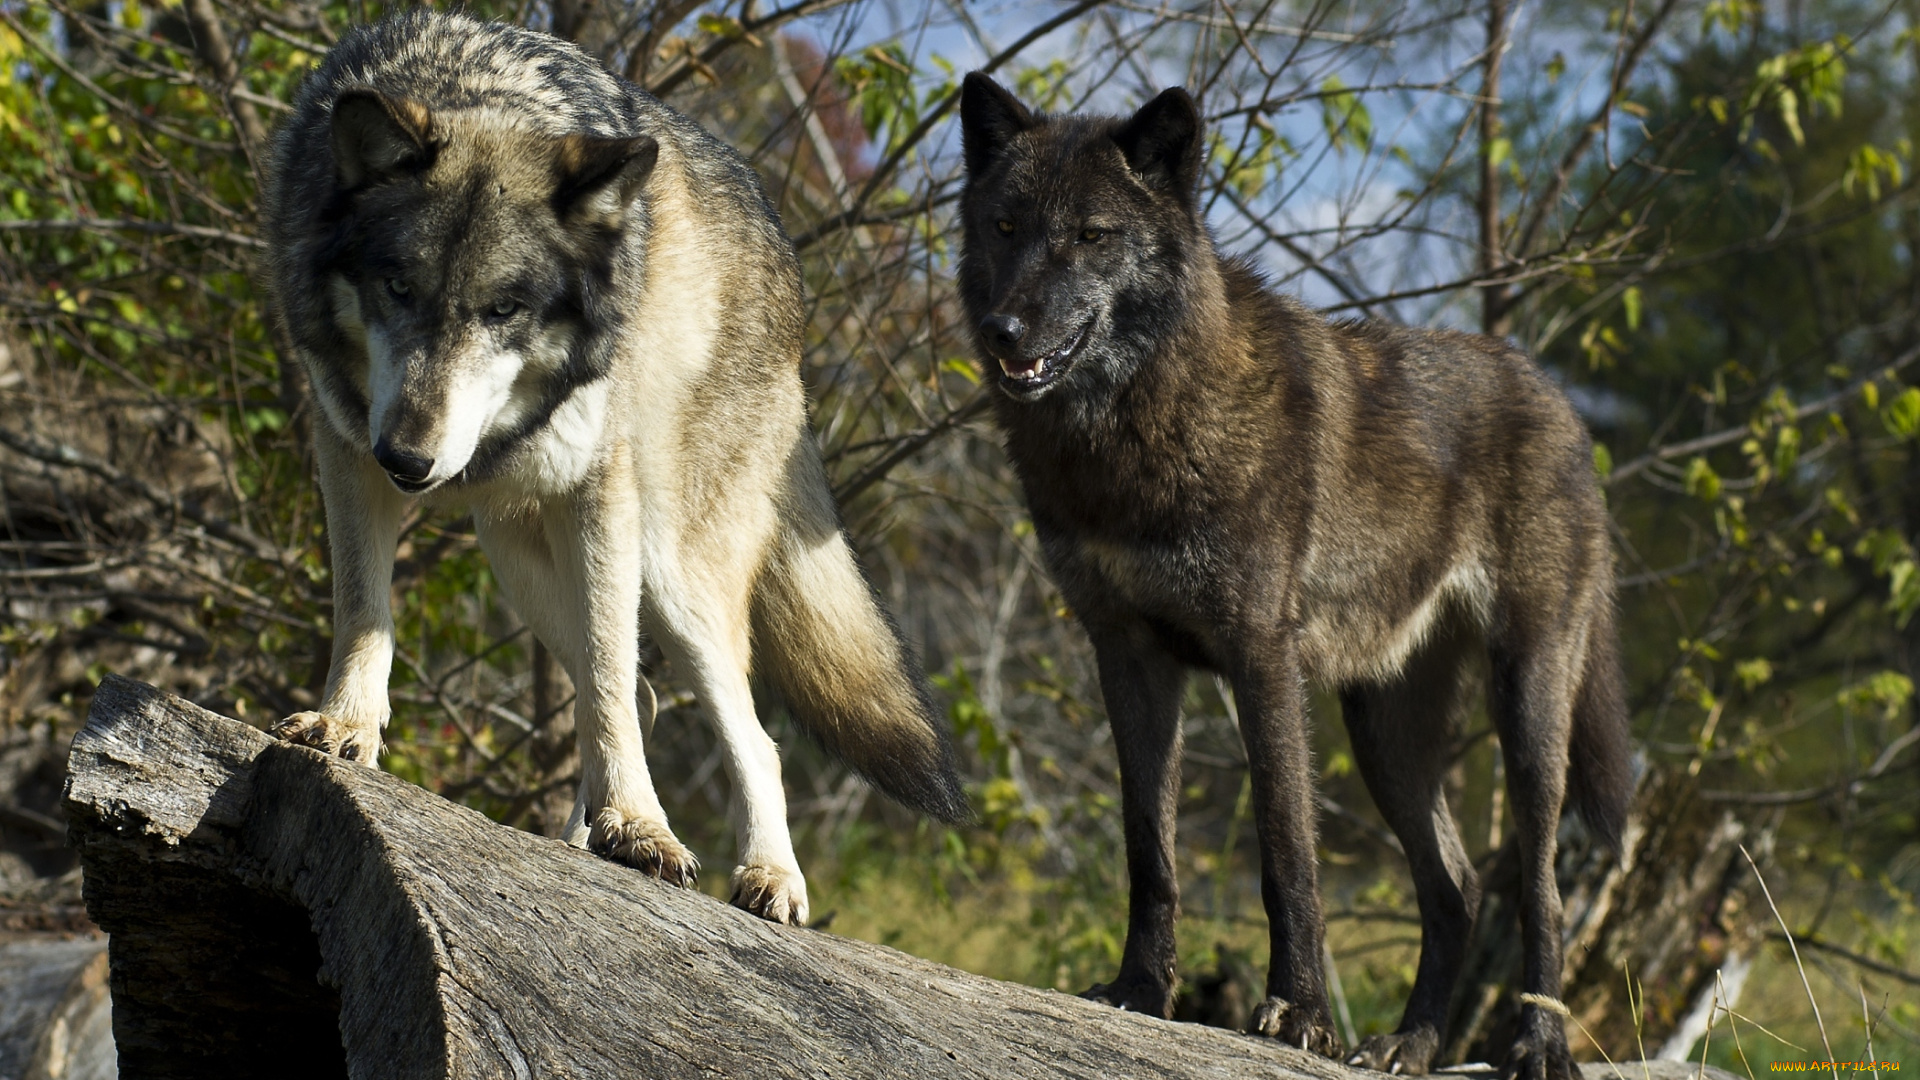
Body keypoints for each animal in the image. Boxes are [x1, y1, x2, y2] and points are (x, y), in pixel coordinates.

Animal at [259, 8, 975, 922]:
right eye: (397, 287)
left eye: (504, 309)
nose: (410, 459)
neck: (476, 85)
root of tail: (789, 267)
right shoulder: (347, 445)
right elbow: (364, 610)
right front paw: (345, 728)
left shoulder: (599, 490)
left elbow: (603, 676)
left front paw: (640, 827)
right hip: (514, 550)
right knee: (643, 695)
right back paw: (576, 839)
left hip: (669, 570)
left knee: (749, 735)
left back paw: (769, 876)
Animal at [952, 71, 1628, 1068]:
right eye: (1004, 226)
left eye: (1091, 235)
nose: (1005, 330)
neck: (1132, 432)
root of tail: (1561, 403)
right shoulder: (1127, 655)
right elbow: (1148, 849)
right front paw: (1141, 990)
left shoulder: (1260, 654)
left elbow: (1286, 851)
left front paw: (1298, 1012)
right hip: (1386, 737)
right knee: (1457, 887)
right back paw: (1409, 1045)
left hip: (1532, 711)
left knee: (1535, 887)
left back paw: (1539, 1047)